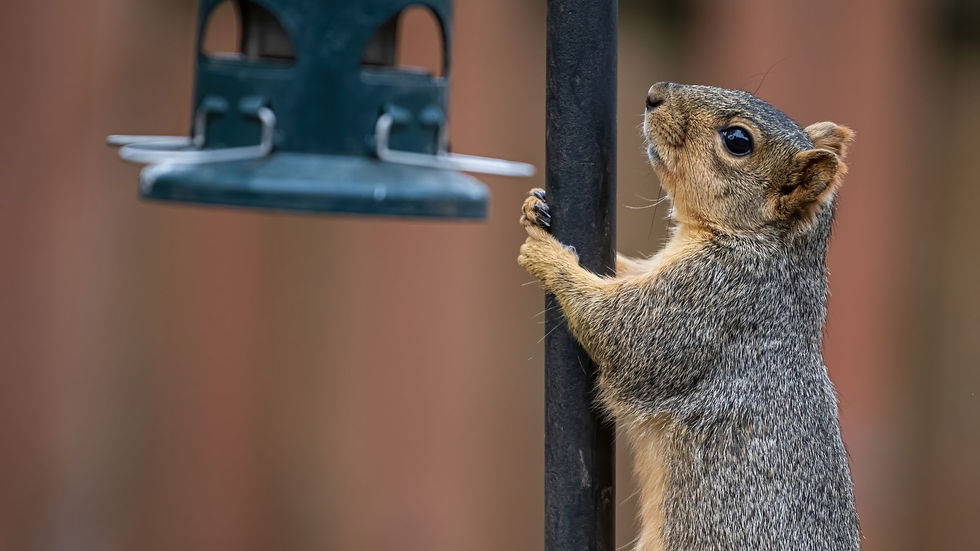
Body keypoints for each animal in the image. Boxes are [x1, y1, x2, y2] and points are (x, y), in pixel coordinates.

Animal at [518, 82, 859, 550]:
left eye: (738, 140)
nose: (654, 94)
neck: (761, 242)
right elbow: (625, 272)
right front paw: (533, 209)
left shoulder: (709, 300)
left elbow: (620, 332)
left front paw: (547, 255)